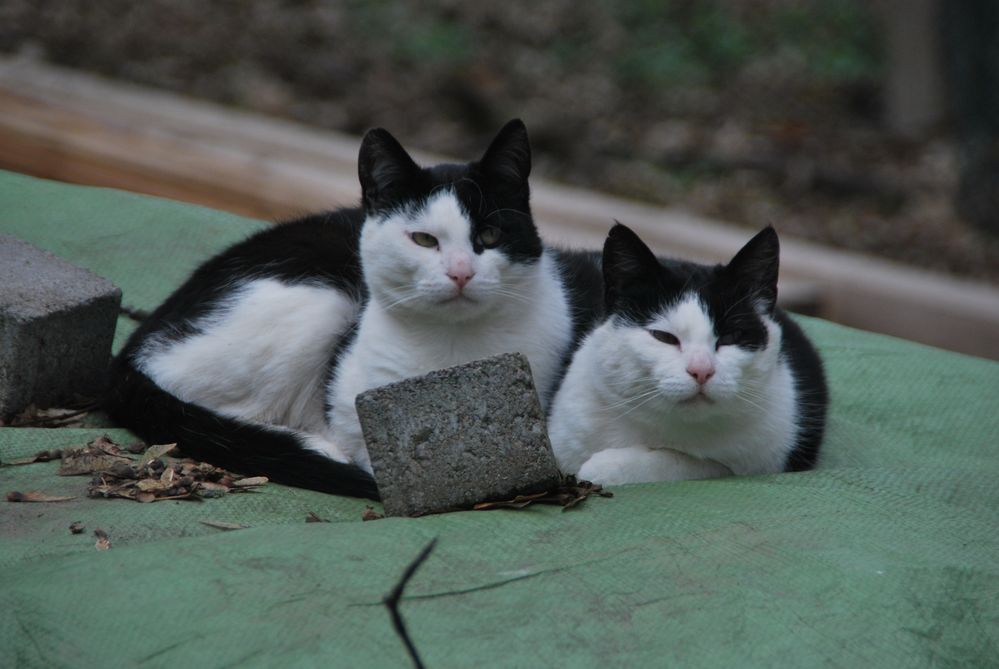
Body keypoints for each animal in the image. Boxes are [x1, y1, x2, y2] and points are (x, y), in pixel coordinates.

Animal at [103, 118, 600, 496]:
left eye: (490, 237)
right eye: (424, 239)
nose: (461, 272)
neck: (452, 352)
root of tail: (133, 348)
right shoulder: (349, 407)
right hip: (321, 303)